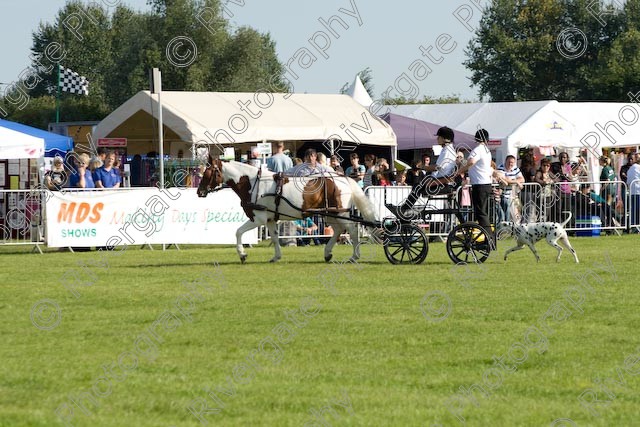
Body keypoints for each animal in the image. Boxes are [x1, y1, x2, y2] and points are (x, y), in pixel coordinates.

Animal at [195, 159, 376, 262]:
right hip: (331, 213)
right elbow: (275, 238)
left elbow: (238, 232)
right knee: (338, 230)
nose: (199, 192)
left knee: (352, 231)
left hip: (340, 213)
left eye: (208, 173)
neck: (253, 183)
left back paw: (354, 256)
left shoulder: (258, 219)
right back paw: (327, 253)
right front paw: (276, 256)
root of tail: (343, 178)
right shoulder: (270, 220)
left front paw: (242, 254)